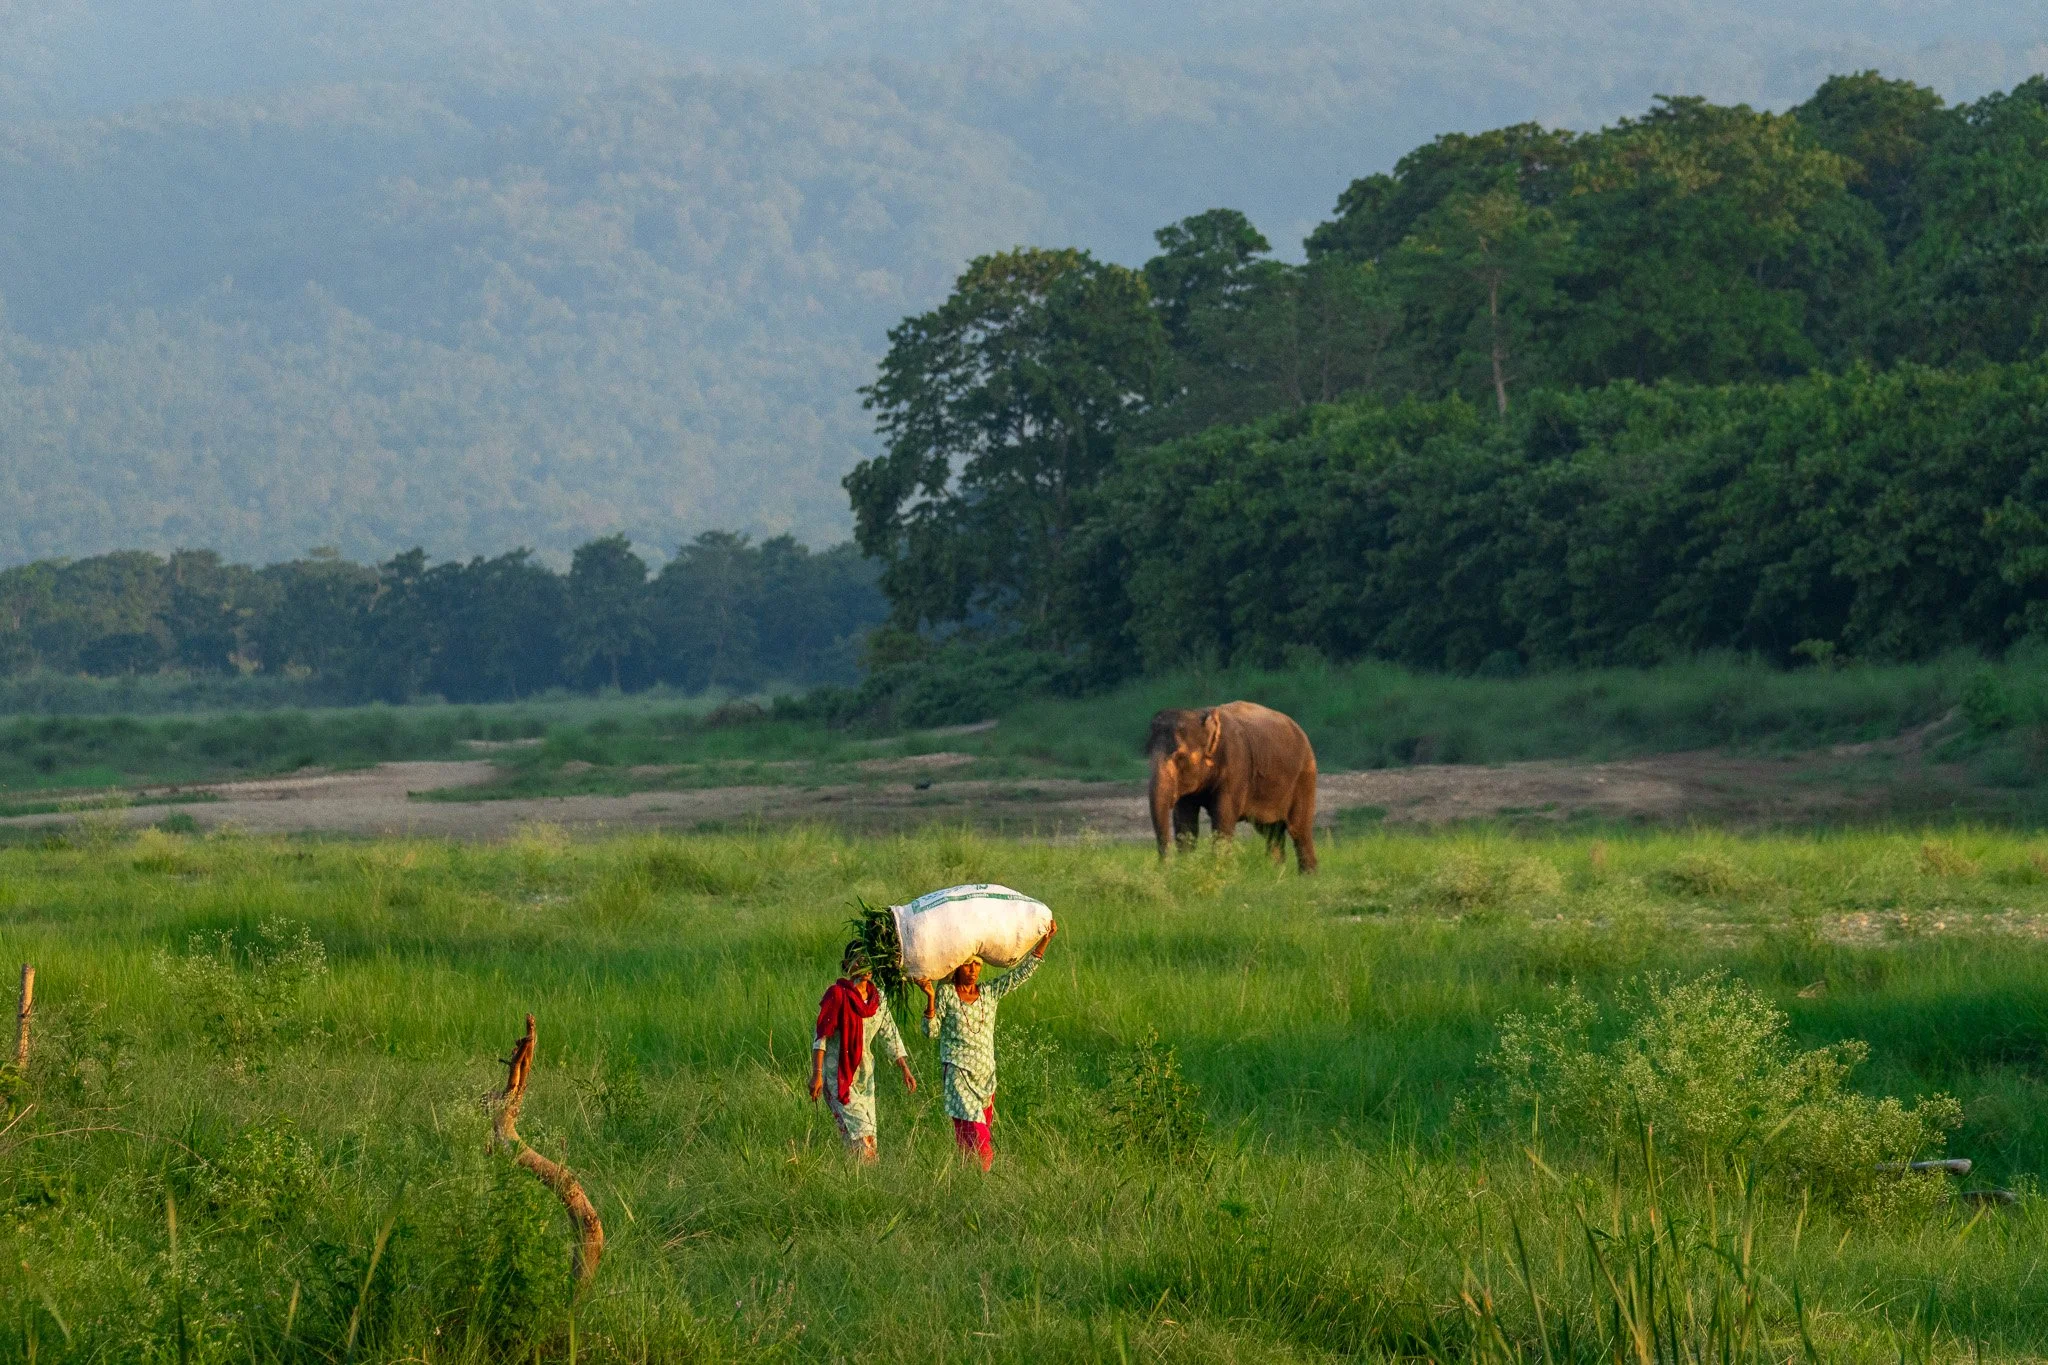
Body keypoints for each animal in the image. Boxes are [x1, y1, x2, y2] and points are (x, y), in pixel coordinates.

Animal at [1146, 701, 1318, 873]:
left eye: (1180, 756)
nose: (1165, 866)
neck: (1200, 714)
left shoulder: (1236, 766)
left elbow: (1223, 817)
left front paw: (1218, 870)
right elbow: (1185, 821)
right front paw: (1186, 868)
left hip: (1305, 778)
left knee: (1299, 830)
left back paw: (1308, 876)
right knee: (1271, 832)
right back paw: (1276, 873)